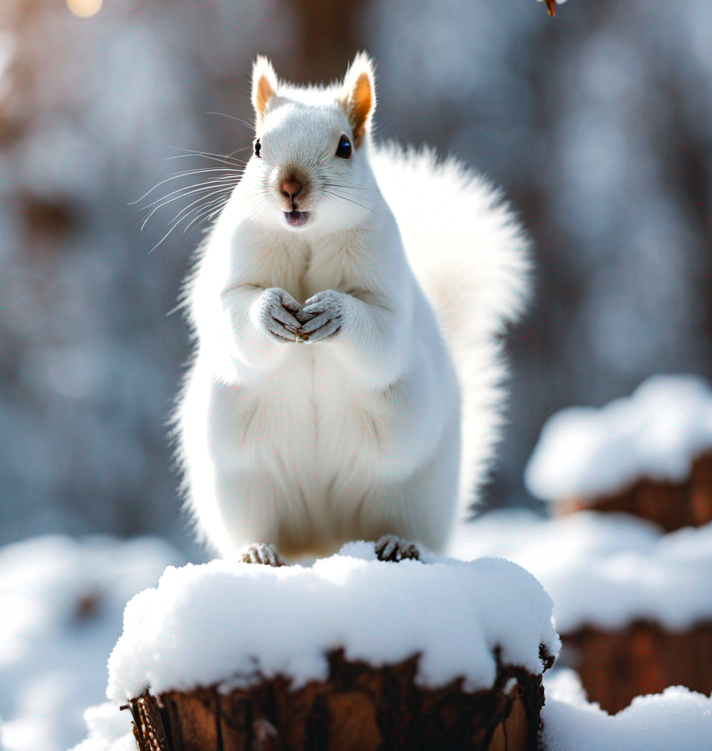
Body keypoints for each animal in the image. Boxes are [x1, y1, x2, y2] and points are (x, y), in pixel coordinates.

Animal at [173, 53, 530, 565]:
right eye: (258, 146)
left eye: (345, 146)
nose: (290, 186)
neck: (307, 237)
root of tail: (326, 538)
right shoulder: (229, 274)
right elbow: (233, 314)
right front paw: (270, 312)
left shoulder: (389, 294)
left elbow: (383, 336)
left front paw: (334, 314)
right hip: (246, 486)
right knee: (261, 527)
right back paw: (258, 551)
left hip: (408, 491)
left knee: (404, 525)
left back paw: (398, 543)